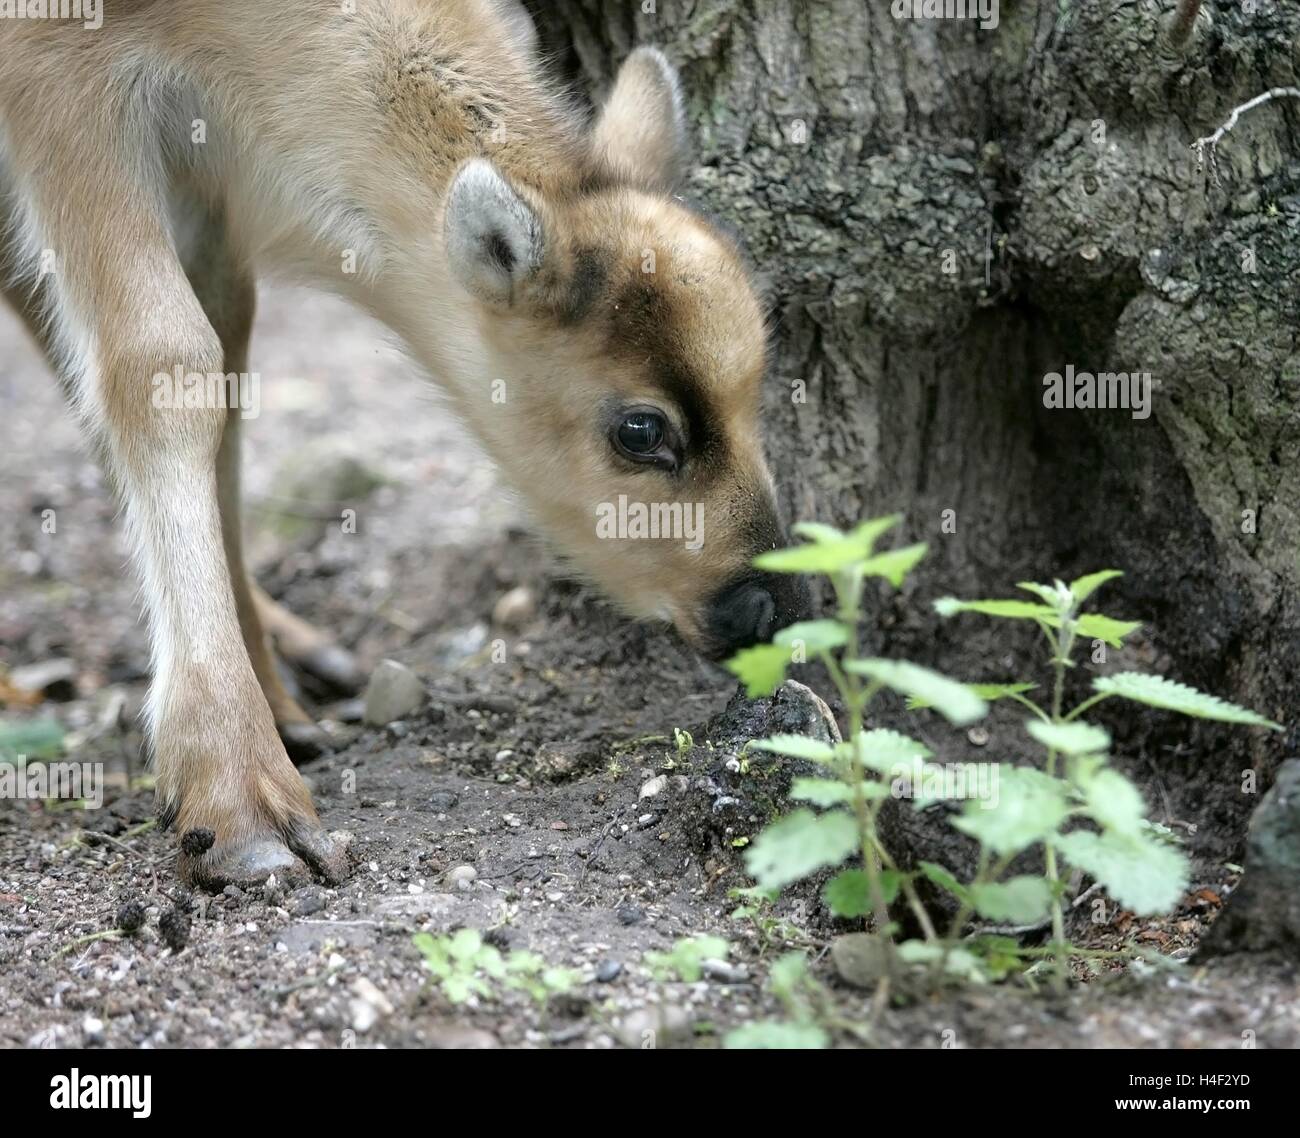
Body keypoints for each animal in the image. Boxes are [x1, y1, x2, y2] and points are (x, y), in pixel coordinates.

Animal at [0, 0, 807, 887]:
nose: (773, 606)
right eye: (641, 429)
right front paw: (243, 804)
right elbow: (163, 361)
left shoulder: (200, 176)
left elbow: (226, 363)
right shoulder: (61, 84)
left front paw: (281, 715)